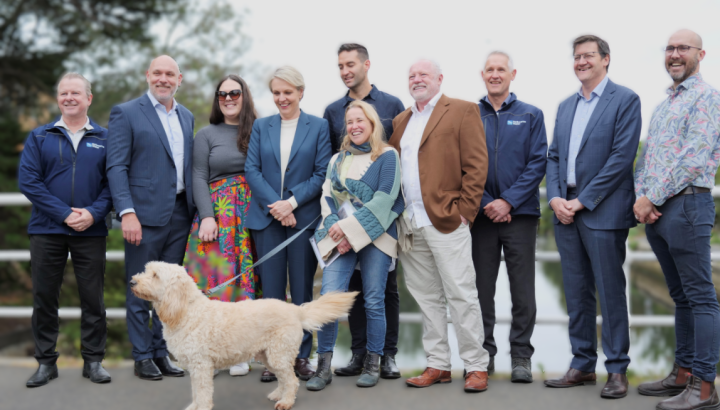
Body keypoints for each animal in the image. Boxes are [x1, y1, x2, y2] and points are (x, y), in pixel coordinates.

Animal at [131, 262, 358, 410]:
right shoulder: (195, 367)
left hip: (279, 353)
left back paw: (285, 402)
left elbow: (203, 391)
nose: (132, 282)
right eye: (147, 270)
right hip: (268, 355)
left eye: (155, 275)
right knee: (283, 378)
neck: (186, 310)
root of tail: (294, 310)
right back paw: (278, 394)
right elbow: (196, 390)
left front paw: (201, 407)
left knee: (292, 380)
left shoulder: (201, 365)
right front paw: (194, 406)